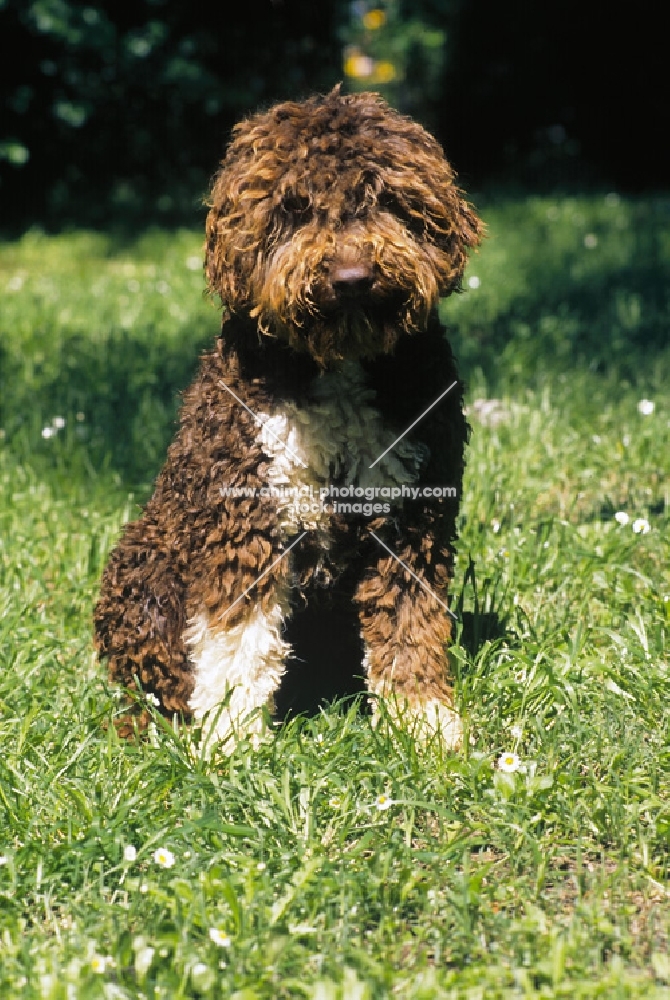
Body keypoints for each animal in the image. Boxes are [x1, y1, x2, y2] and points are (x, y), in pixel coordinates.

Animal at [94, 90, 484, 752]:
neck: (338, 363)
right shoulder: (245, 520)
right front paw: (229, 737)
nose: (352, 279)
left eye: (384, 197)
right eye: (294, 207)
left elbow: (410, 629)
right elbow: (238, 640)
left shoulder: (412, 521)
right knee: (158, 681)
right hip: (141, 567)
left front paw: (423, 724)